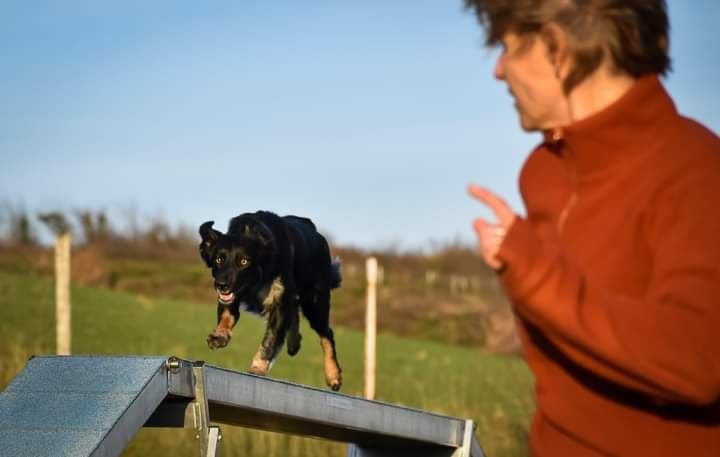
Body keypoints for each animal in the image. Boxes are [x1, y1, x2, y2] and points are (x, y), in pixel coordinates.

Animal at [197, 209, 344, 388]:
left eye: (244, 261)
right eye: (219, 259)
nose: (221, 285)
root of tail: (316, 232)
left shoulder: (278, 301)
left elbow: (270, 340)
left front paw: (257, 368)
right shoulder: (231, 297)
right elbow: (226, 316)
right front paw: (220, 335)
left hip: (315, 304)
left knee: (326, 334)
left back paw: (333, 374)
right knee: (295, 313)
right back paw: (294, 342)